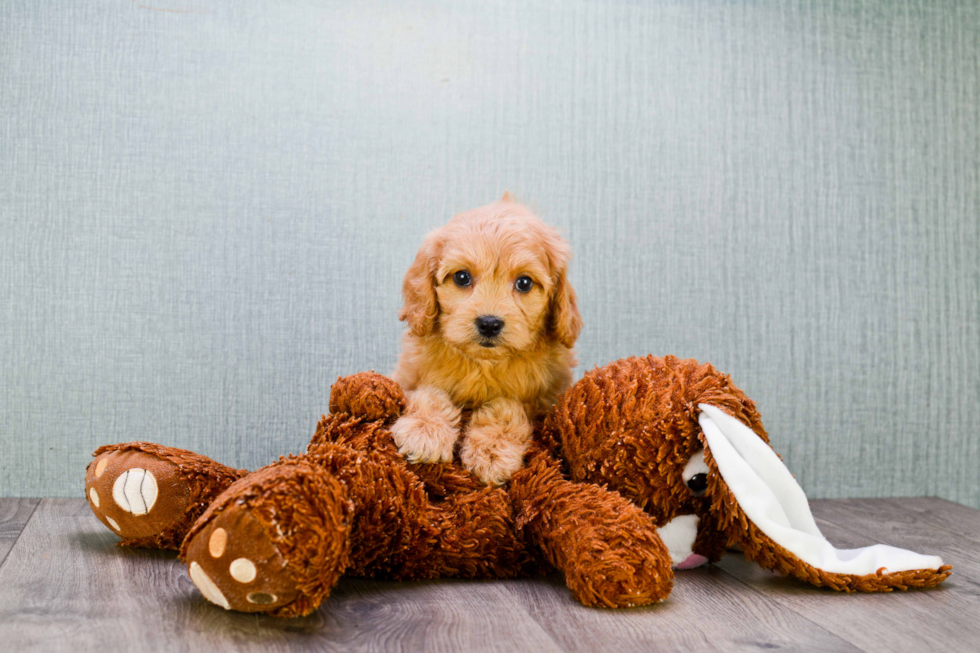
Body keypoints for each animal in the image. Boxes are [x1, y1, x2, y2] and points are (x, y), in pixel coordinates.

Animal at [390, 196, 580, 486]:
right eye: (462, 277)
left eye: (524, 283)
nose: (489, 323)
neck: (483, 364)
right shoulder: (406, 377)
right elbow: (429, 392)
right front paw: (425, 430)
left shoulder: (544, 400)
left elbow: (506, 406)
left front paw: (492, 450)